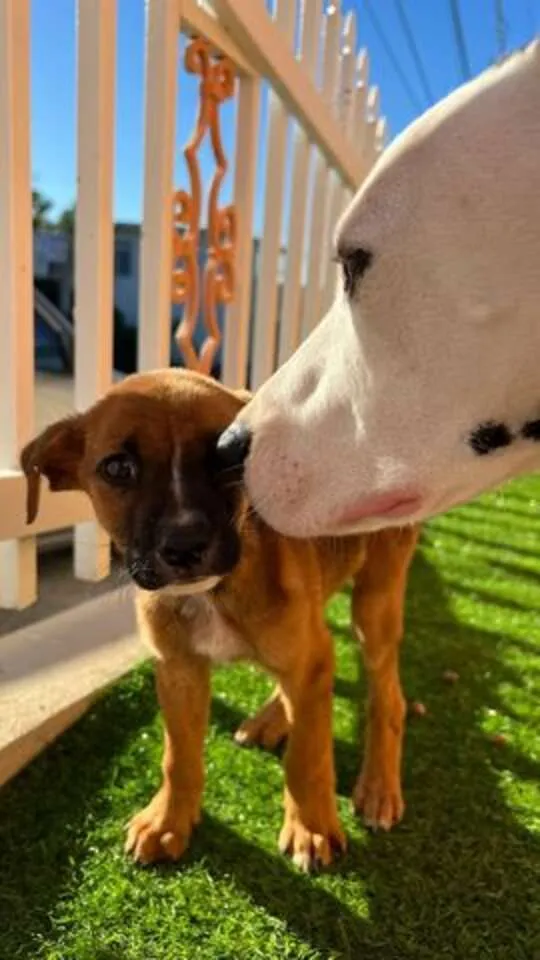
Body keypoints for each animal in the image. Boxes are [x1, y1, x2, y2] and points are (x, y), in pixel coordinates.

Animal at [21, 368, 418, 872]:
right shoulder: (178, 669)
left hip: (376, 600)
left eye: (225, 459)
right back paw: (273, 718)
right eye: (116, 468)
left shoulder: (302, 658)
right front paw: (168, 821)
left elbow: (307, 756)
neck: (210, 594)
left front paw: (310, 827)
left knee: (387, 696)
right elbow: (179, 756)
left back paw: (379, 786)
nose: (185, 545)